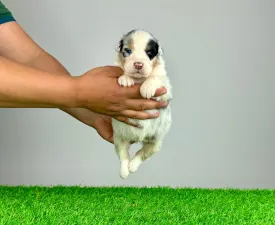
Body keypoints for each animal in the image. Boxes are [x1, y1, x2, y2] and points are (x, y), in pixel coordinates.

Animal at [111, 29, 172, 178]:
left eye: (149, 53)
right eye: (128, 51)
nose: (138, 64)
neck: (139, 79)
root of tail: (139, 138)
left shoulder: (165, 88)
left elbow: (155, 77)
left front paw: (147, 88)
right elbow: (122, 71)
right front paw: (126, 79)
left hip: (156, 141)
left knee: (142, 153)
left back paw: (132, 166)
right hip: (119, 137)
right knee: (124, 154)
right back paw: (124, 171)